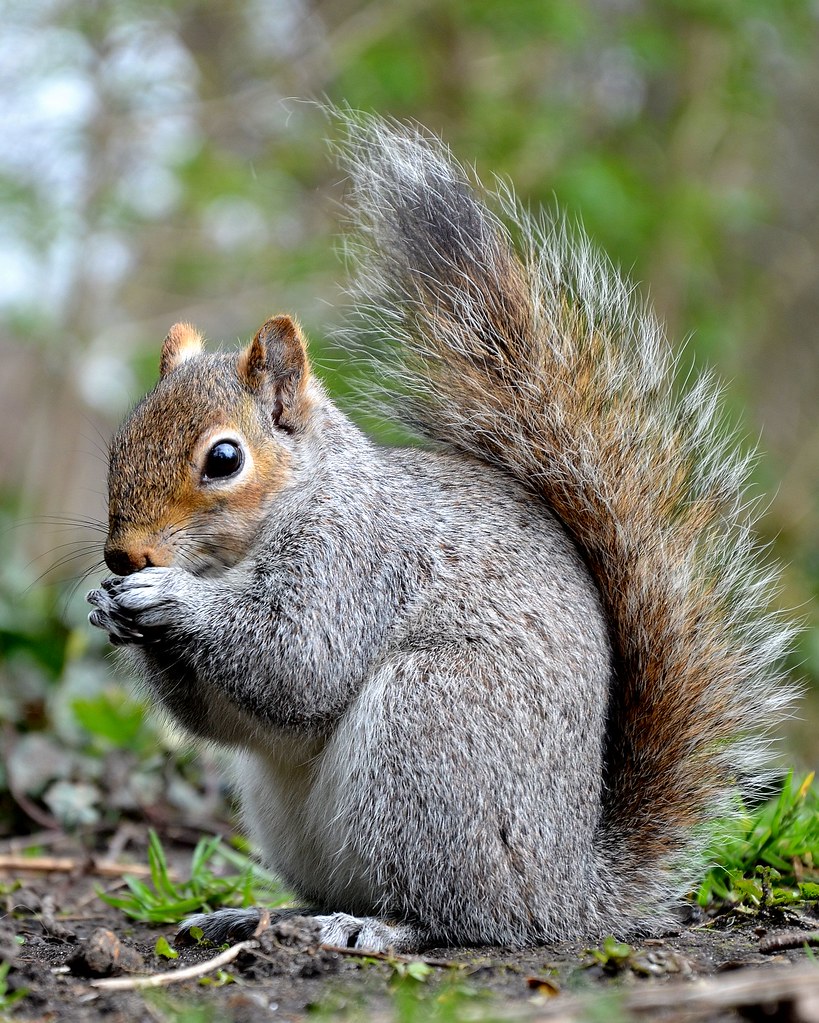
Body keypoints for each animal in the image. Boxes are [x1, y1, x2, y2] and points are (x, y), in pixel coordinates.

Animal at [87, 112, 796, 953]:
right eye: (120, 440)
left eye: (223, 459)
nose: (124, 554)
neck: (291, 506)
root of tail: (568, 892)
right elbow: (227, 715)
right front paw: (111, 605)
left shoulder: (353, 560)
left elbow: (298, 664)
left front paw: (169, 596)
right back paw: (260, 913)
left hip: (429, 734)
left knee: (454, 915)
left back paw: (378, 929)